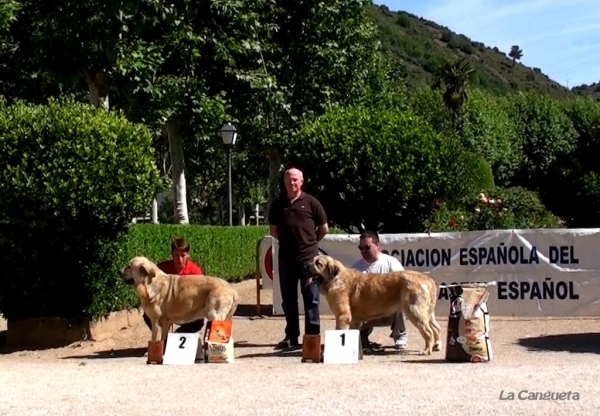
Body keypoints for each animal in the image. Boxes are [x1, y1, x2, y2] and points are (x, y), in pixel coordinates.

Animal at [310, 254, 440, 354]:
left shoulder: (343, 316)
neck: (336, 279)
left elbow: (340, 332)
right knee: (436, 328)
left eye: (318, 263)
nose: (306, 265)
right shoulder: (354, 320)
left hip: (414, 311)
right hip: (428, 313)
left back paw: (426, 351)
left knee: (428, 332)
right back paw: (436, 346)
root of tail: (428, 279)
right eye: (312, 260)